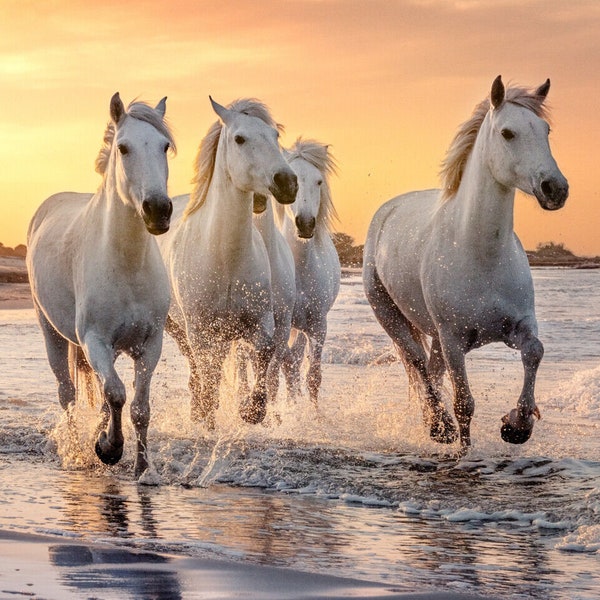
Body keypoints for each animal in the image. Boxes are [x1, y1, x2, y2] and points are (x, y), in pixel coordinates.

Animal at [27, 95, 176, 478]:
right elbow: (117, 394)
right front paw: (108, 448)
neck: (127, 264)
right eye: (123, 148)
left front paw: (142, 468)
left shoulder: (150, 344)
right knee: (67, 394)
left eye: (164, 146)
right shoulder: (94, 339)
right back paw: (77, 450)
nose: (158, 210)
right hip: (52, 332)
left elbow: (138, 407)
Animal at [159, 97, 298, 426]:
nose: (287, 182)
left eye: (275, 136)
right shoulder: (199, 329)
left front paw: (252, 410)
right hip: (178, 327)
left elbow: (264, 353)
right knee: (197, 367)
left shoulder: (260, 322)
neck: (226, 259)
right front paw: (207, 413)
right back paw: (198, 411)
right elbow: (208, 374)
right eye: (239, 139)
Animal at [360, 76, 568, 446]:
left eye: (545, 130)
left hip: (435, 337)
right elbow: (464, 405)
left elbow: (535, 351)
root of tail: (387, 210)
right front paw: (463, 446)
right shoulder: (454, 340)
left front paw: (517, 425)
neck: (481, 254)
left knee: (431, 369)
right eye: (507, 133)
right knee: (418, 363)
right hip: (391, 315)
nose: (554, 188)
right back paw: (438, 426)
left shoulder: (518, 326)